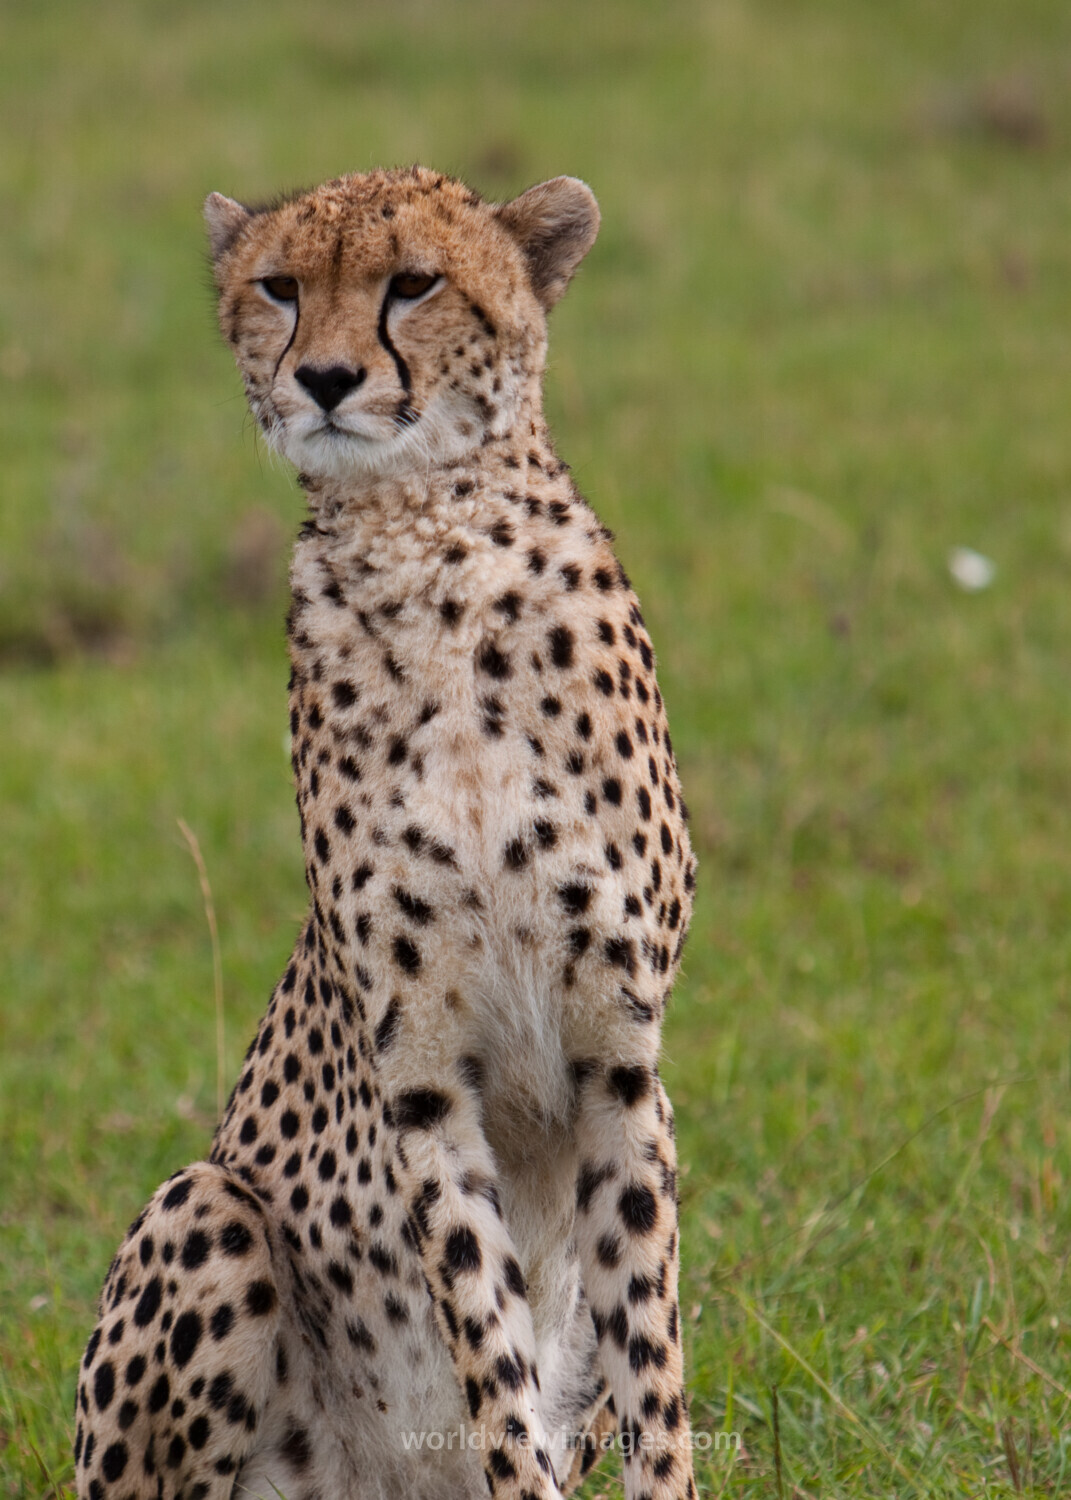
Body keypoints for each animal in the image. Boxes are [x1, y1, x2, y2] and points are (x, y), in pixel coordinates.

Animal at [74, 165, 698, 1500]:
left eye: (413, 283)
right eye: (278, 287)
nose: (323, 377)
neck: (430, 552)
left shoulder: (622, 1059)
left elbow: (650, 1363)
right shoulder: (422, 1075)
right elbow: (491, 1354)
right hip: (204, 1206)